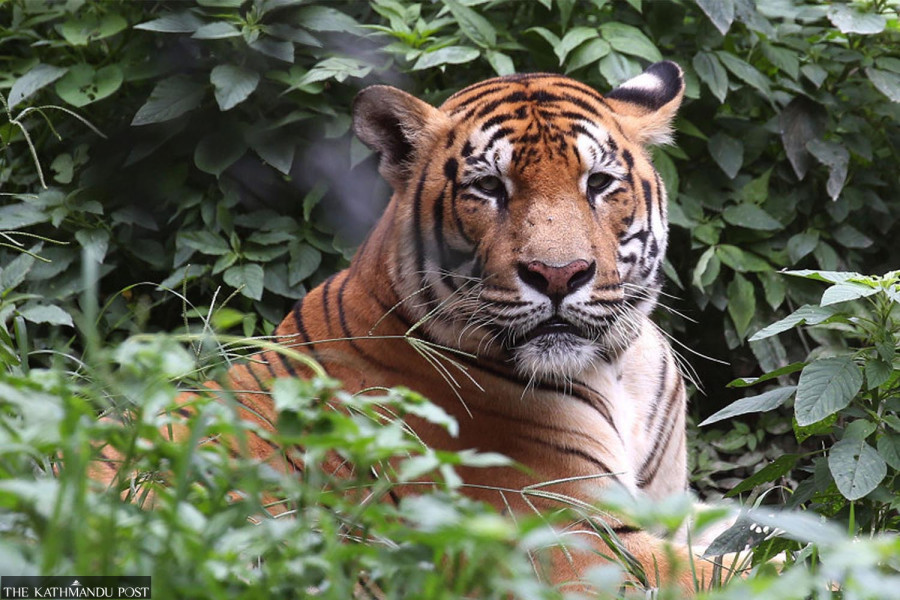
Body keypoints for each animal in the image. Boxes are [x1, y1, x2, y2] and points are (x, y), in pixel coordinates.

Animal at [98, 61, 719, 595]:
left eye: (599, 183)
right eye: (489, 188)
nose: (558, 274)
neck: (617, 369)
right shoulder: (568, 540)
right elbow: (723, 571)